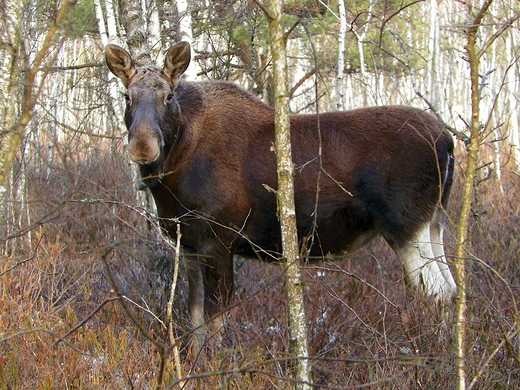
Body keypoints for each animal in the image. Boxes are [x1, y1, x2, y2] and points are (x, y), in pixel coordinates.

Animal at [104, 41, 456, 352]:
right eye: (126, 96)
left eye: (168, 96)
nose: (143, 146)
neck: (174, 171)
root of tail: (449, 142)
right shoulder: (189, 245)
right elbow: (195, 321)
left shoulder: (218, 240)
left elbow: (215, 321)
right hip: (434, 223)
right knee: (450, 288)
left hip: (406, 226)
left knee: (435, 292)